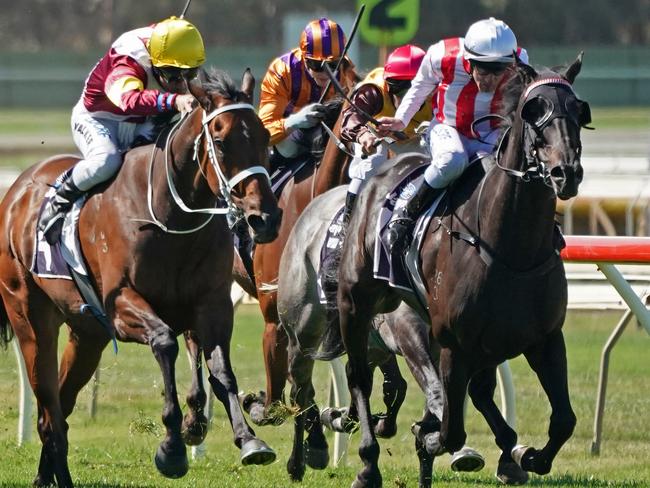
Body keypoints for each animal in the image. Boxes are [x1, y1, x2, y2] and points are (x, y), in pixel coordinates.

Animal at [0, 68, 280, 488]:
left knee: (60, 409)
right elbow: (165, 342)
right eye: (220, 140)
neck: (171, 217)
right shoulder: (120, 304)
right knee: (49, 410)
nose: (265, 219)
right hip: (31, 320)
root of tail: (17, 189)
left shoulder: (212, 304)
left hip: (88, 334)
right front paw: (172, 448)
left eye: (264, 137)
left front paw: (249, 440)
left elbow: (221, 371)